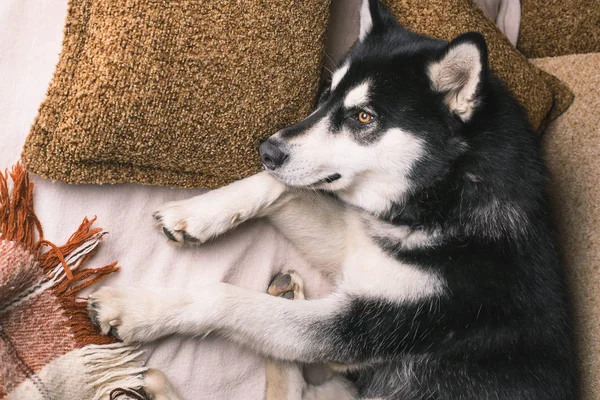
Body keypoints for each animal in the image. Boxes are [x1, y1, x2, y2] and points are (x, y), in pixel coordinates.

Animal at [86, 1, 580, 398]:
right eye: (326, 96)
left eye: (362, 117)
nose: (266, 150)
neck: (446, 197)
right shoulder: (355, 248)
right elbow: (279, 186)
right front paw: (196, 213)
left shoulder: (360, 327)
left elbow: (224, 298)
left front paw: (138, 309)